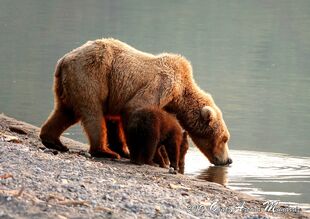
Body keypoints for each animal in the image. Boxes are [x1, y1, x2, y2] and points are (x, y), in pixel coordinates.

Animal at [39, 37, 230, 165]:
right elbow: (136, 109)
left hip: (72, 84)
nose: (229, 160)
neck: (180, 94)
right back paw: (105, 151)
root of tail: (63, 60)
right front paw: (157, 159)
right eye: (224, 139)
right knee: (93, 114)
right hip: (91, 76)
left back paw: (54, 141)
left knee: (65, 112)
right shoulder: (163, 85)